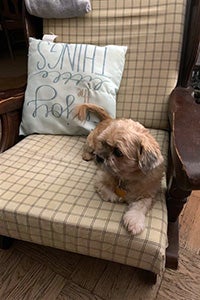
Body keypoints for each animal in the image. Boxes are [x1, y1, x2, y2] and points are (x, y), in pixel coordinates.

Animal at [74, 104, 163, 236]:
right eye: (102, 143)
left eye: (118, 152)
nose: (99, 157)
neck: (128, 177)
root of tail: (108, 119)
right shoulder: (100, 179)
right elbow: (109, 193)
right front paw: (118, 197)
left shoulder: (148, 194)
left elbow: (140, 206)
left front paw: (135, 221)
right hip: (90, 142)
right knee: (86, 147)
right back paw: (87, 155)